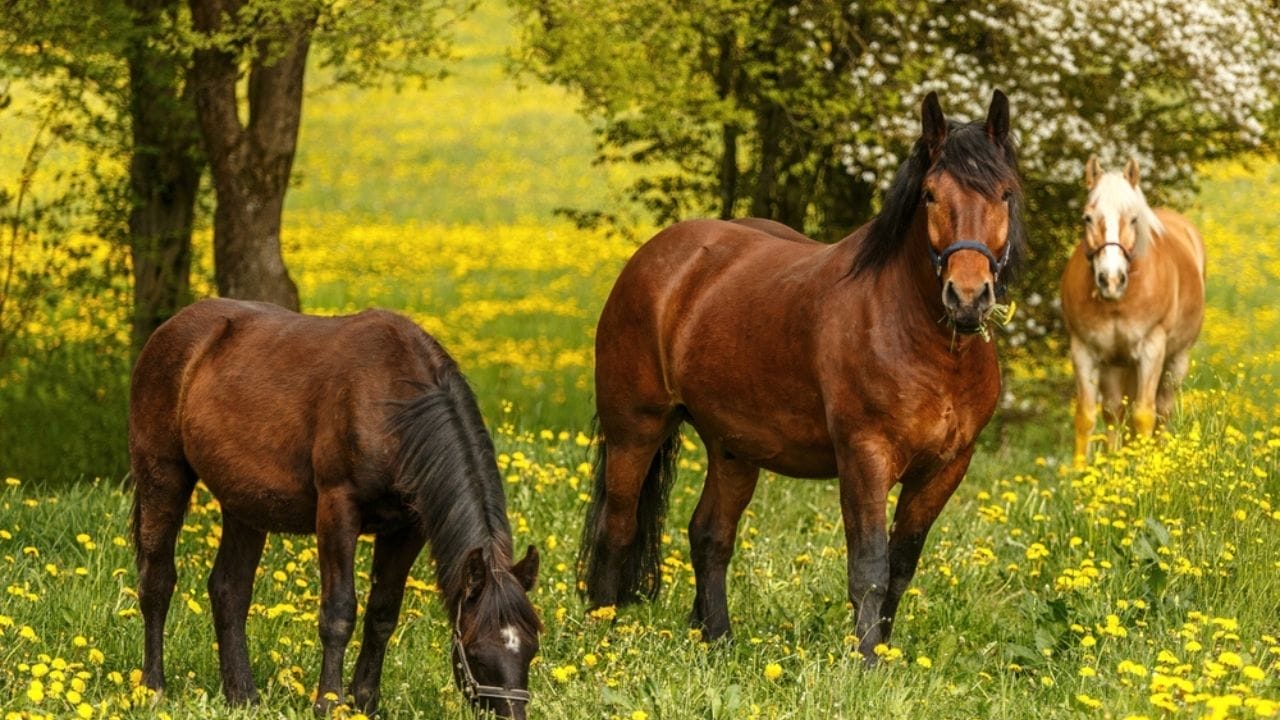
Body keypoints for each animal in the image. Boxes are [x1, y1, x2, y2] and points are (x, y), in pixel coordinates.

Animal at [129, 298, 541, 719]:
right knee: (157, 580)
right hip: (161, 475)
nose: (514, 715)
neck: (392, 407)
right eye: (477, 652)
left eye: (530, 649)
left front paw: (365, 701)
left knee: (230, 589)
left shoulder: (407, 528)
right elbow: (339, 611)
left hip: (244, 505)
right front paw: (329, 702)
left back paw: (242, 696)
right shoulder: (338, 509)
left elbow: (382, 613)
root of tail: (170, 329)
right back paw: (153, 688)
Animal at [578, 91, 1026, 659]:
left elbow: (901, 567)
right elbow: (870, 569)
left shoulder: (946, 469)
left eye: (1005, 194)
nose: (967, 298)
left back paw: (720, 640)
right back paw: (603, 634)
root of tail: (657, 257)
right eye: (929, 195)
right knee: (616, 528)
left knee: (710, 535)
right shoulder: (865, 458)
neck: (926, 343)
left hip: (732, 448)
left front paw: (883, 655)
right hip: (635, 431)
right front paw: (865, 664)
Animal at [1061, 156, 1206, 466]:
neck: (1120, 301)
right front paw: (1080, 473)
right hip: (1116, 365)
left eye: (1133, 219)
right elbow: (1087, 416)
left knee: (1162, 412)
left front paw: (1143, 469)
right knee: (1114, 411)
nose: (1111, 279)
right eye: (1087, 217)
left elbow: (1143, 415)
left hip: (1176, 362)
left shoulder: (1152, 350)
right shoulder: (1084, 350)